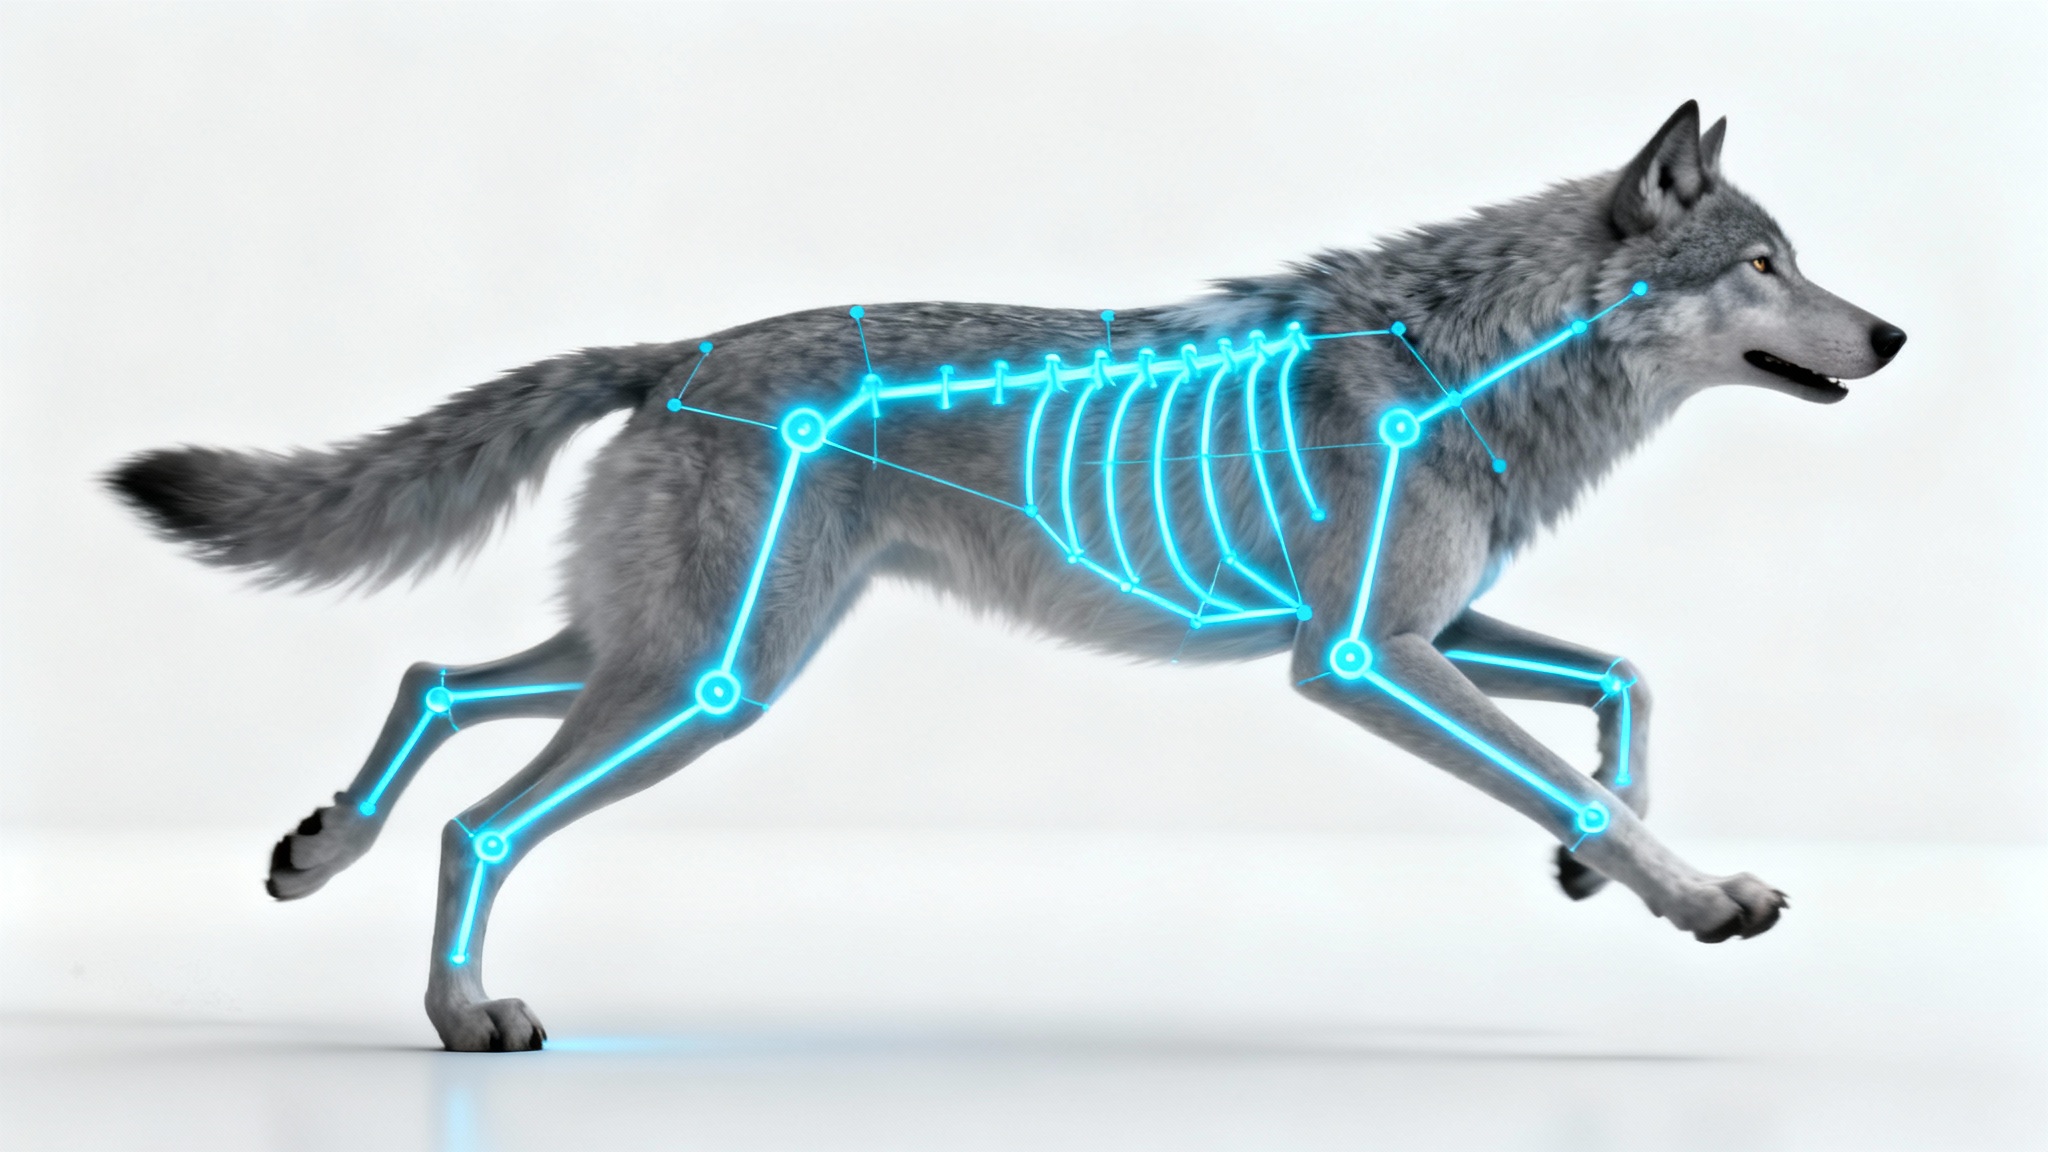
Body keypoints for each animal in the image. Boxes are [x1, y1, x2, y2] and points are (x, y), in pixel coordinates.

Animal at [108, 102, 1905, 1051]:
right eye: (1764, 262)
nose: (1890, 334)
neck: (1466, 358)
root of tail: (676, 352)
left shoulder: (1433, 628)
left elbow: (1620, 689)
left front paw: (1602, 874)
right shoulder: (1361, 657)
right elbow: (1574, 767)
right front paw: (1695, 897)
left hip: (671, 653)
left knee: (433, 680)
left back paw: (316, 852)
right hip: (710, 681)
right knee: (482, 814)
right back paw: (466, 1013)